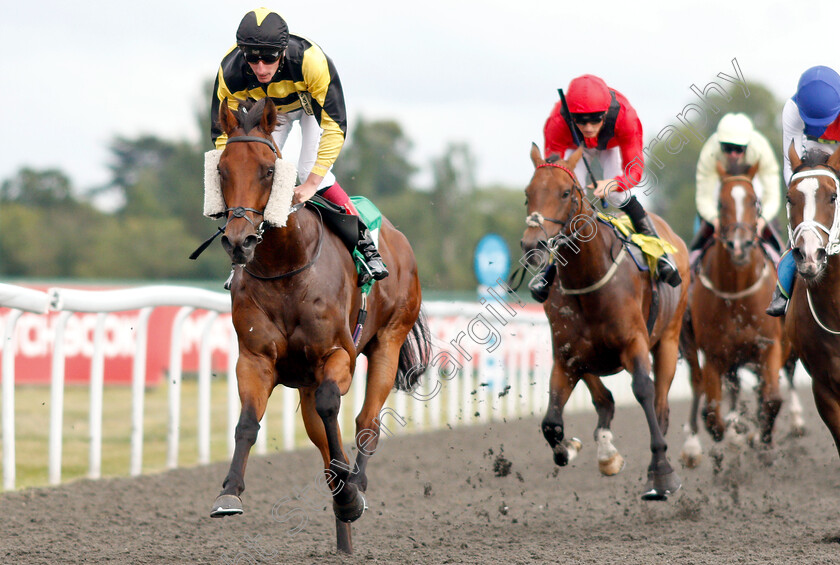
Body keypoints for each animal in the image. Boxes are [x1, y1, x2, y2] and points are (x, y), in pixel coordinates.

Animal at [209, 96, 430, 552]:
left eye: (268, 170)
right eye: (222, 169)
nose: (240, 241)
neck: (285, 267)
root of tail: (397, 237)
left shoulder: (337, 354)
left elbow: (334, 407)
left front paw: (350, 491)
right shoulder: (255, 358)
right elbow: (247, 422)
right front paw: (229, 493)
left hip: (389, 339)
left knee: (366, 422)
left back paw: (355, 484)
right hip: (306, 380)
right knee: (322, 438)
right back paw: (341, 497)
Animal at [520, 144, 692, 498]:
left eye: (566, 192)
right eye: (527, 193)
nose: (533, 245)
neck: (589, 281)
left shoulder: (634, 343)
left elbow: (643, 390)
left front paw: (662, 474)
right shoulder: (568, 356)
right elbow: (551, 422)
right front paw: (572, 448)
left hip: (668, 340)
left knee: (660, 405)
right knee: (604, 399)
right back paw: (605, 451)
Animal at [680, 160, 792, 468]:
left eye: (755, 201)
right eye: (720, 203)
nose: (739, 246)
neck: (737, 294)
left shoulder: (770, 347)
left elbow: (772, 400)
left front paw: (764, 446)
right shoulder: (714, 356)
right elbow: (711, 414)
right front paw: (726, 447)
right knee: (698, 386)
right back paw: (694, 446)